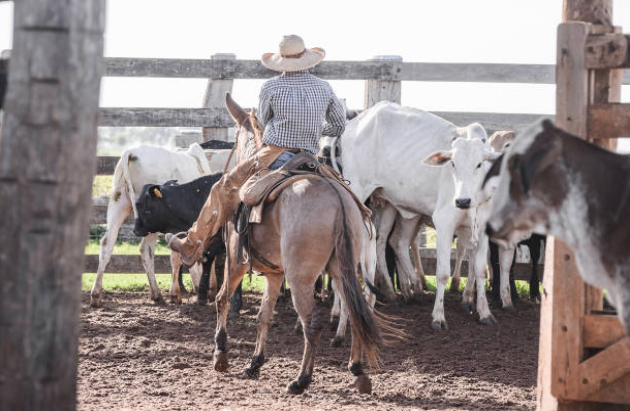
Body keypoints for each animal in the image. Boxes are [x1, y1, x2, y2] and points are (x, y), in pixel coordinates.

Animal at [90, 145, 212, 308]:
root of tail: (131, 153)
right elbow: (179, 255)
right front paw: (179, 293)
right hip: (151, 222)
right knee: (146, 251)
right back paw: (158, 295)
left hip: (118, 203)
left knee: (107, 244)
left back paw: (96, 295)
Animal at [133, 172, 242, 314]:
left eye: (140, 205)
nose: (135, 229)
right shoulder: (213, 241)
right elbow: (206, 259)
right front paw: (202, 296)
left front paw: (235, 304)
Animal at [215, 94, 382, 396]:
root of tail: (337, 199)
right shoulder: (274, 273)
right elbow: (264, 315)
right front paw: (254, 364)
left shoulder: (235, 261)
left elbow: (222, 298)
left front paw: (221, 354)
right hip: (342, 271)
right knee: (356, 313)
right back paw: (358, 371)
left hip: (300, 276)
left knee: (311, 324)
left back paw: (301, 380)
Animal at [326, 103, 498, 332]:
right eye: (452, 164)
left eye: (479, 164)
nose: (462, 201)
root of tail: (354, 122)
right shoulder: (444, 223)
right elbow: (443, 272)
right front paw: (438, 317)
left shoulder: (482, 229)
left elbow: (479, 270)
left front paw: (485, 312)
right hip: (357, 192)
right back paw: (338, 310)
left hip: (390, 205)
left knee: (387, 241)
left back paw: (394, 293)